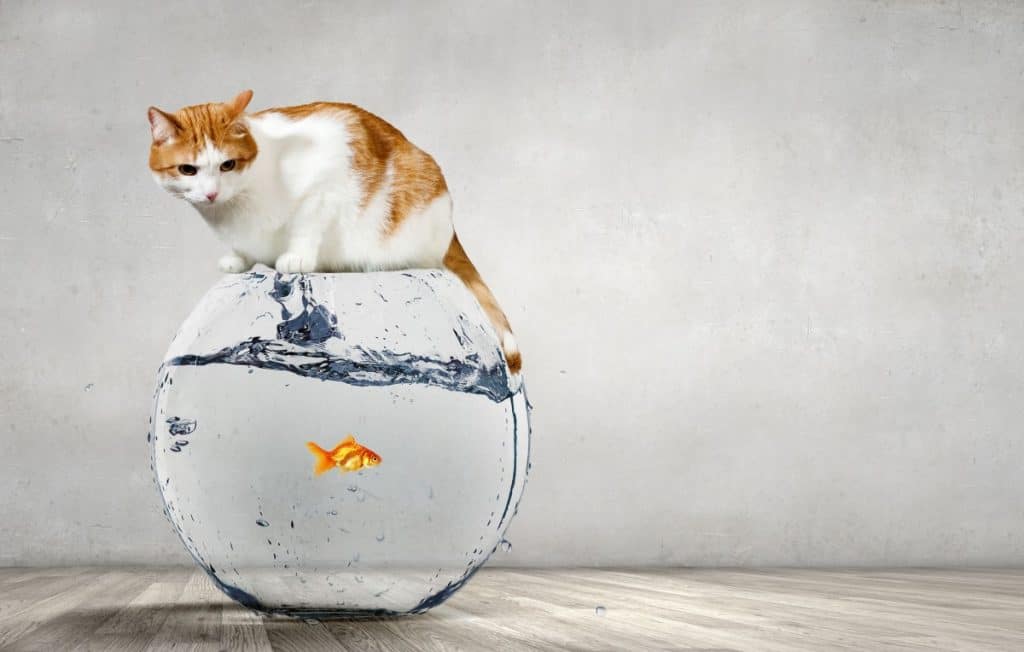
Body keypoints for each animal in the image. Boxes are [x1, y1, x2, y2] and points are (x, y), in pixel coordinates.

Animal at [146, 89, 520, 370]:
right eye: (188, 169)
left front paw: (295, 259)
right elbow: (242, 249)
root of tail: (450, 223)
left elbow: (306, 225)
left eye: (228, 165)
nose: (211, 193)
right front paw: (237, 260)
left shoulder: (325, 183)